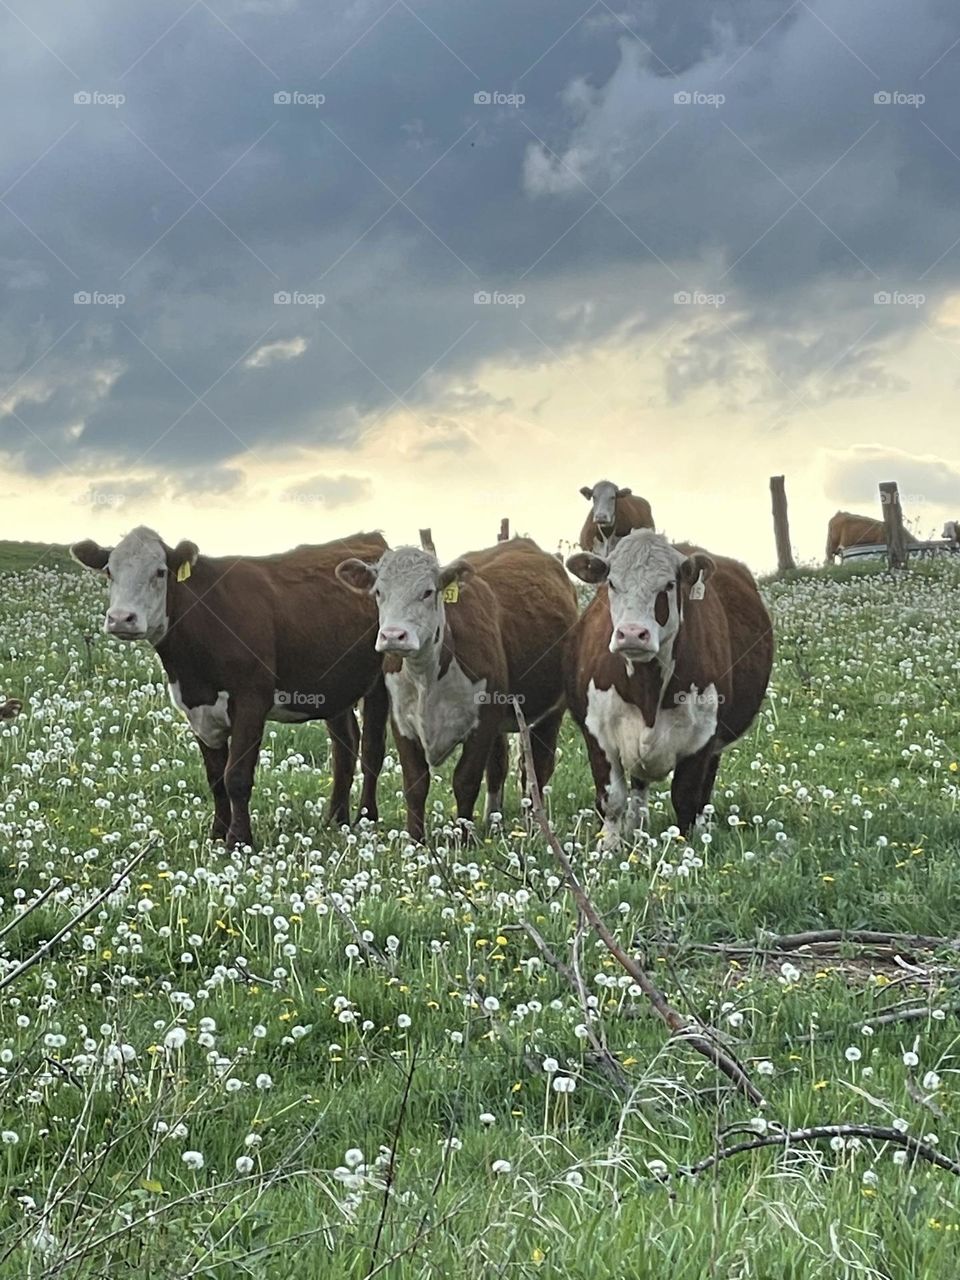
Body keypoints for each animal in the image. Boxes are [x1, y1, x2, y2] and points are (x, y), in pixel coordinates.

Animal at [70, 527, 389, 849]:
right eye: (109, 571)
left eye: (160, 572)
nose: (121, 618)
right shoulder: (197, 708)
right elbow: (216, 778)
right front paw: (216, 834)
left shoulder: (251, 701)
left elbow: (236, 776)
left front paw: (239, 840)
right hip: (336, 686)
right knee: (345, 746)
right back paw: (336, 819)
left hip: (383, 678)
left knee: (372, 749)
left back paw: (367, 818)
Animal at [336, 536, 578, 842]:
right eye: (378, 591)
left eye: (428, 592)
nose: (393, 636)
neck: (426, 676)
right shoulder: (402, 721)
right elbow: (415, 783)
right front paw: (416, 840)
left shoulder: (483, 721)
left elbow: (466, 780)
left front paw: (464, 838)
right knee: (498, 765)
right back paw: (493, 820)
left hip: (551, 711)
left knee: (536, 768)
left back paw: (533, 825)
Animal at [564, 530, 772, 844]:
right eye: (612, 583)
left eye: (669, 584)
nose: (632, 634)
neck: (646, 689)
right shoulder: (597, 732)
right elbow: (611, 798)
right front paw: (609, 846)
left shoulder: (702, 737)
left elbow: (686, 797)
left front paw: (686, 845)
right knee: (638, 787)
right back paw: (635, 827)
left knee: (703, 793)